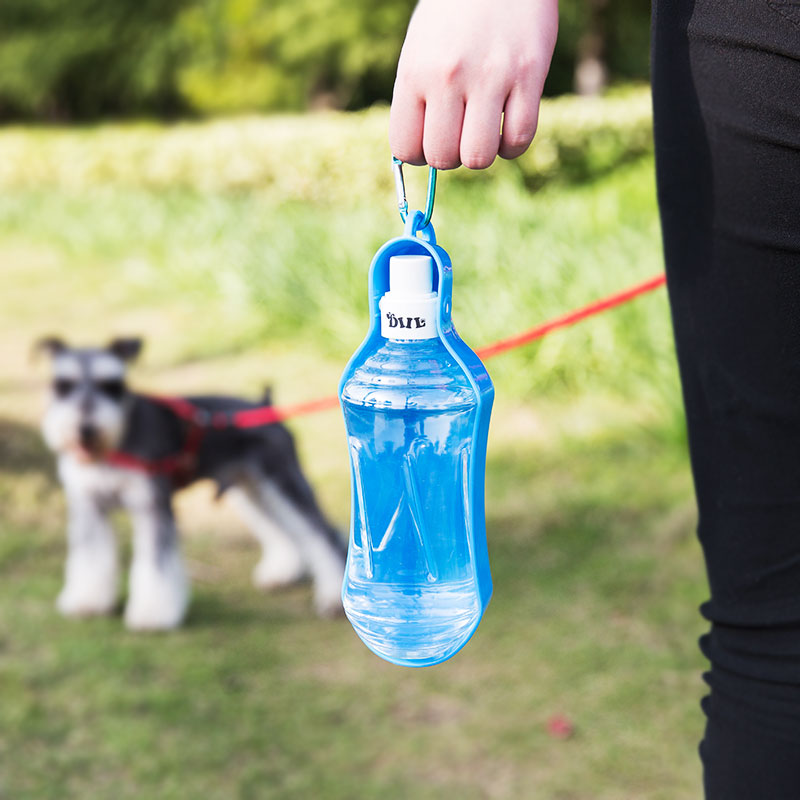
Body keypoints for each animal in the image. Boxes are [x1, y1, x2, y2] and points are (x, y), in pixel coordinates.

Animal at [37, 334, 346, 628]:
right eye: (62, 385)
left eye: (112, 385)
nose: (85, 428)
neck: (114, 442)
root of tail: (265, 406)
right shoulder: (89, 506)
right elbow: (89, 558)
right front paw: (87, 602)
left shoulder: (152, 505)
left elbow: (156, 564)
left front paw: (154, 615)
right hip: (253, 490)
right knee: (281, 529)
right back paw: (282, 573)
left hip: (282, 481)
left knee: (326, 534)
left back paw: (334, 598)